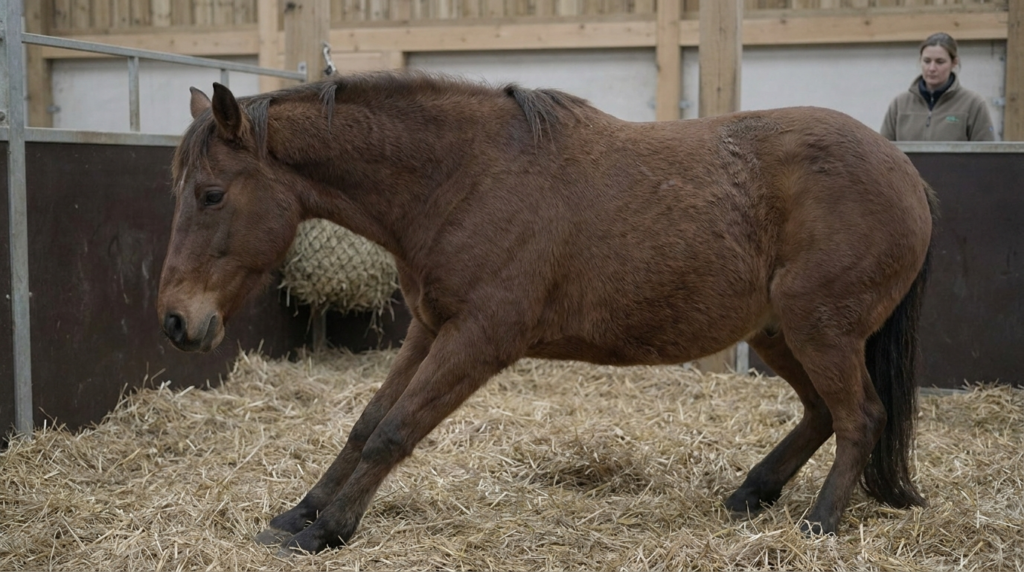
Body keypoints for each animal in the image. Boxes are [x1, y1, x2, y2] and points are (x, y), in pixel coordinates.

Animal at [157, 71, 934, 555]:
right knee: (823, 413)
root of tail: (907, 172)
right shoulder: (431, 329)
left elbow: (396, 432)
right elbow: (367, 424)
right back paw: (754, 492)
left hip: (819, 330)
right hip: (780, 335)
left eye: (211, 194)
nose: (176, 322)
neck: (463, 178)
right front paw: (301, 512)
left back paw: (820, 523)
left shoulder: (477, 339)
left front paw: (328, 531)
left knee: (861, 417)